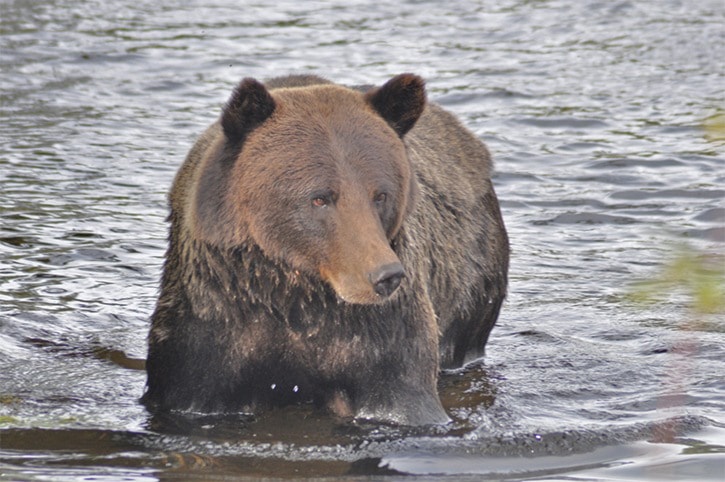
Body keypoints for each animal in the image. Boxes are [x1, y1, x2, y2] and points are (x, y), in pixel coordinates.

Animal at [143, 73, 510, 424]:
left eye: (381, 194)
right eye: (320, 197)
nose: (386, 276)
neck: (295, 294)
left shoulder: (382, 330)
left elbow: (402, 392)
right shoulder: (218, 320)